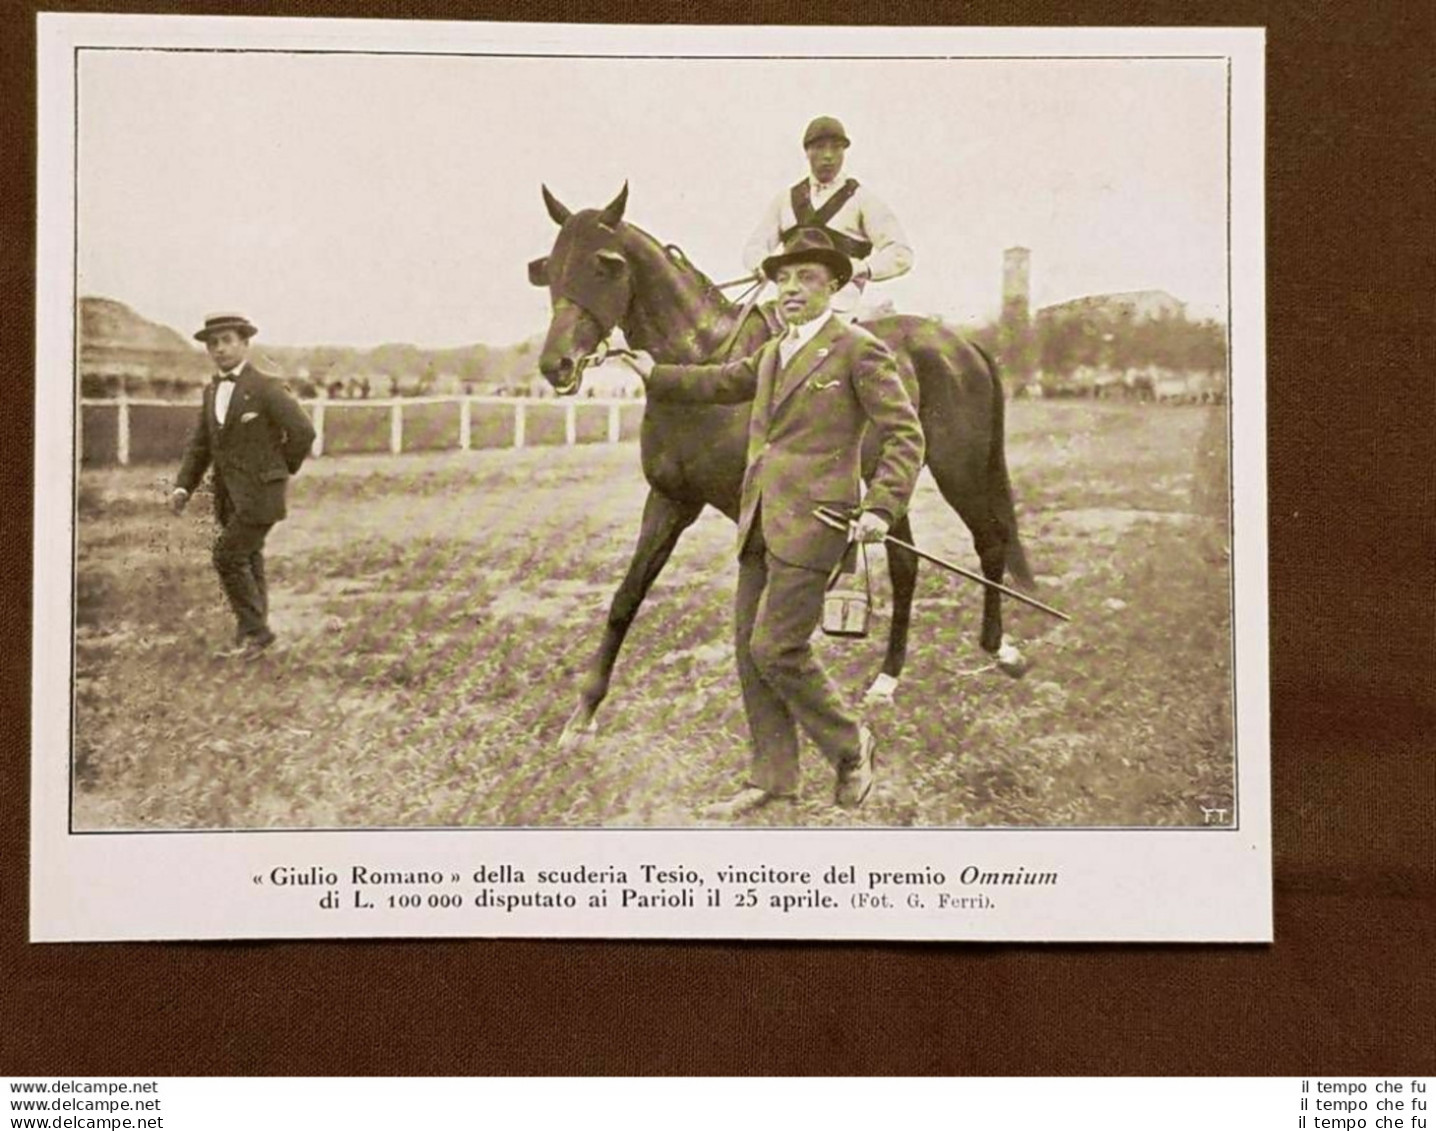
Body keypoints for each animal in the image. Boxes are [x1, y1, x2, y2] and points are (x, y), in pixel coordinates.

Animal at [528, 182, 1033, 752]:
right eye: (553, 267)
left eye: (604, 264)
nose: (556, 365)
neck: (704, 363)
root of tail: (962, 344)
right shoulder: (670, 501)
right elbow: (626, 596)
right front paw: (584, 712)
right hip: (887, 486)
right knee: (907, 565)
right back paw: (888, 677)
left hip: (958, 470)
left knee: (990, 542)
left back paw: (998, 649)